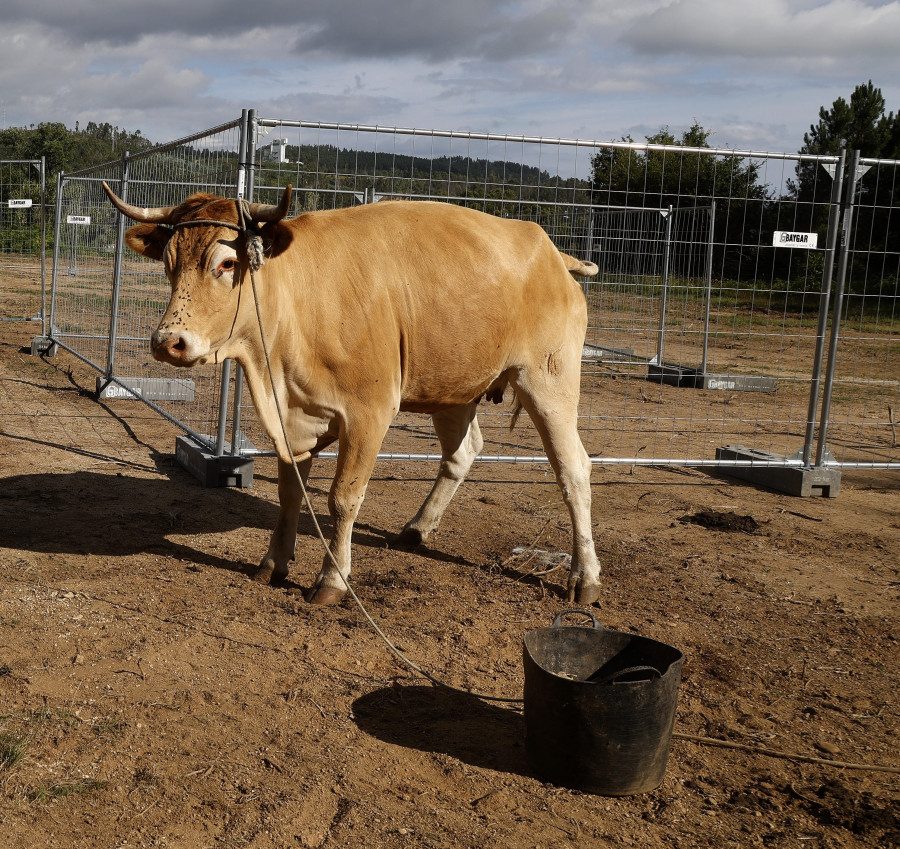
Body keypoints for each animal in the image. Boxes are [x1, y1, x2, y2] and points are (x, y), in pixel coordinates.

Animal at [102, 181, 600, 604]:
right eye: (169, 264)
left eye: (225, 264)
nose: (168, 341)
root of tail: (551, 252)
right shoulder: (290, 418)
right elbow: (291, 492)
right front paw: (273, 562)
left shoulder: (368, 413)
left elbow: (343, 498)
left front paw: (332, 580)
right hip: (452, 387)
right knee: (463, 453)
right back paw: (418, 528)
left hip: (548, 379)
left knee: (573, 468)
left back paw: (585, 577)